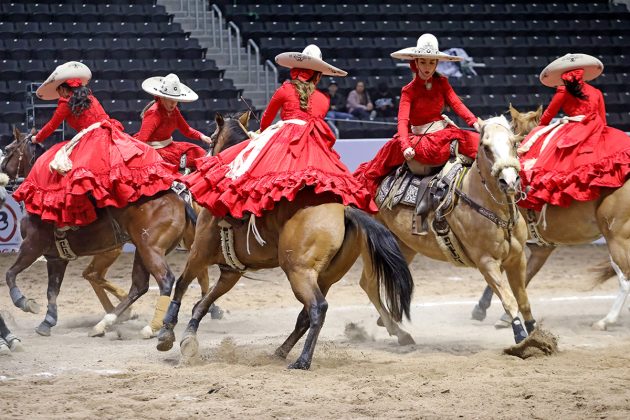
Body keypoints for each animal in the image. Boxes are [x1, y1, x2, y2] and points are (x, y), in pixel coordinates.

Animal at [156, 112, 418, 370]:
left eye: (211, 139)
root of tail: (344, 210)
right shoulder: (231, 271)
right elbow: (203, 302)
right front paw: (189, 338)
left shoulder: (199, 253)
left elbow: (182, 284)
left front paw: (167, 331)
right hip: (325, 277)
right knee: (305, 315)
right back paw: (281, 351)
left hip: (298, 271)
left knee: (317, 308)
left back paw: (302, 360)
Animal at [362, 115, 540, 344]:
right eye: (486, 147)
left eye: (514, 143)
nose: (509, 181)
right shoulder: (486, 262)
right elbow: (509, 299)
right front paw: (520, 336)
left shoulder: (517, 259)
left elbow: (523, 299)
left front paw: (536, 334)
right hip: (371, 245)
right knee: (369, 284)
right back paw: (400, 333)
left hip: (403, 247)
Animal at [474, 105, 630, 332]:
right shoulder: (541, 248)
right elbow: (525, 276)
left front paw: (483, 308)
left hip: (616, 236)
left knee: (625, 278)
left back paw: (605, 320)